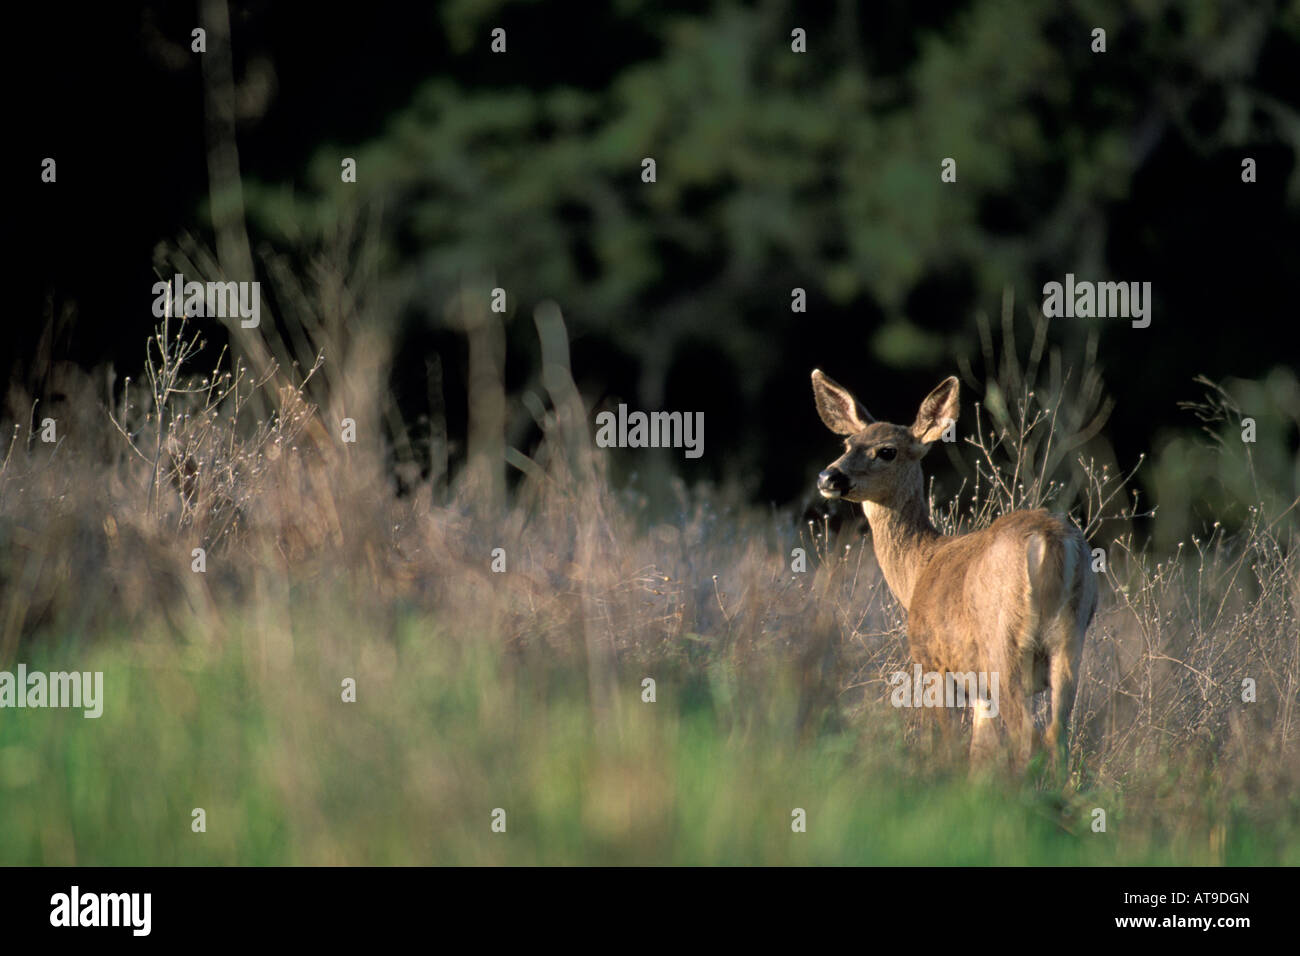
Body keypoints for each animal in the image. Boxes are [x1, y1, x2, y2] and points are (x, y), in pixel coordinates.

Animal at [811, 369, 1097, 764]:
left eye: (887, 451)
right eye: (847, 442)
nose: (828, 478)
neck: (918, 567)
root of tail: (1051, 541)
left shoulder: (932, 662)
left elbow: (945, 743)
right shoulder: (979, 691)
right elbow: (980, 753)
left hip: (1001, 645)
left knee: (1028, 736)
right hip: (1070, 638)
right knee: (1056, 734)